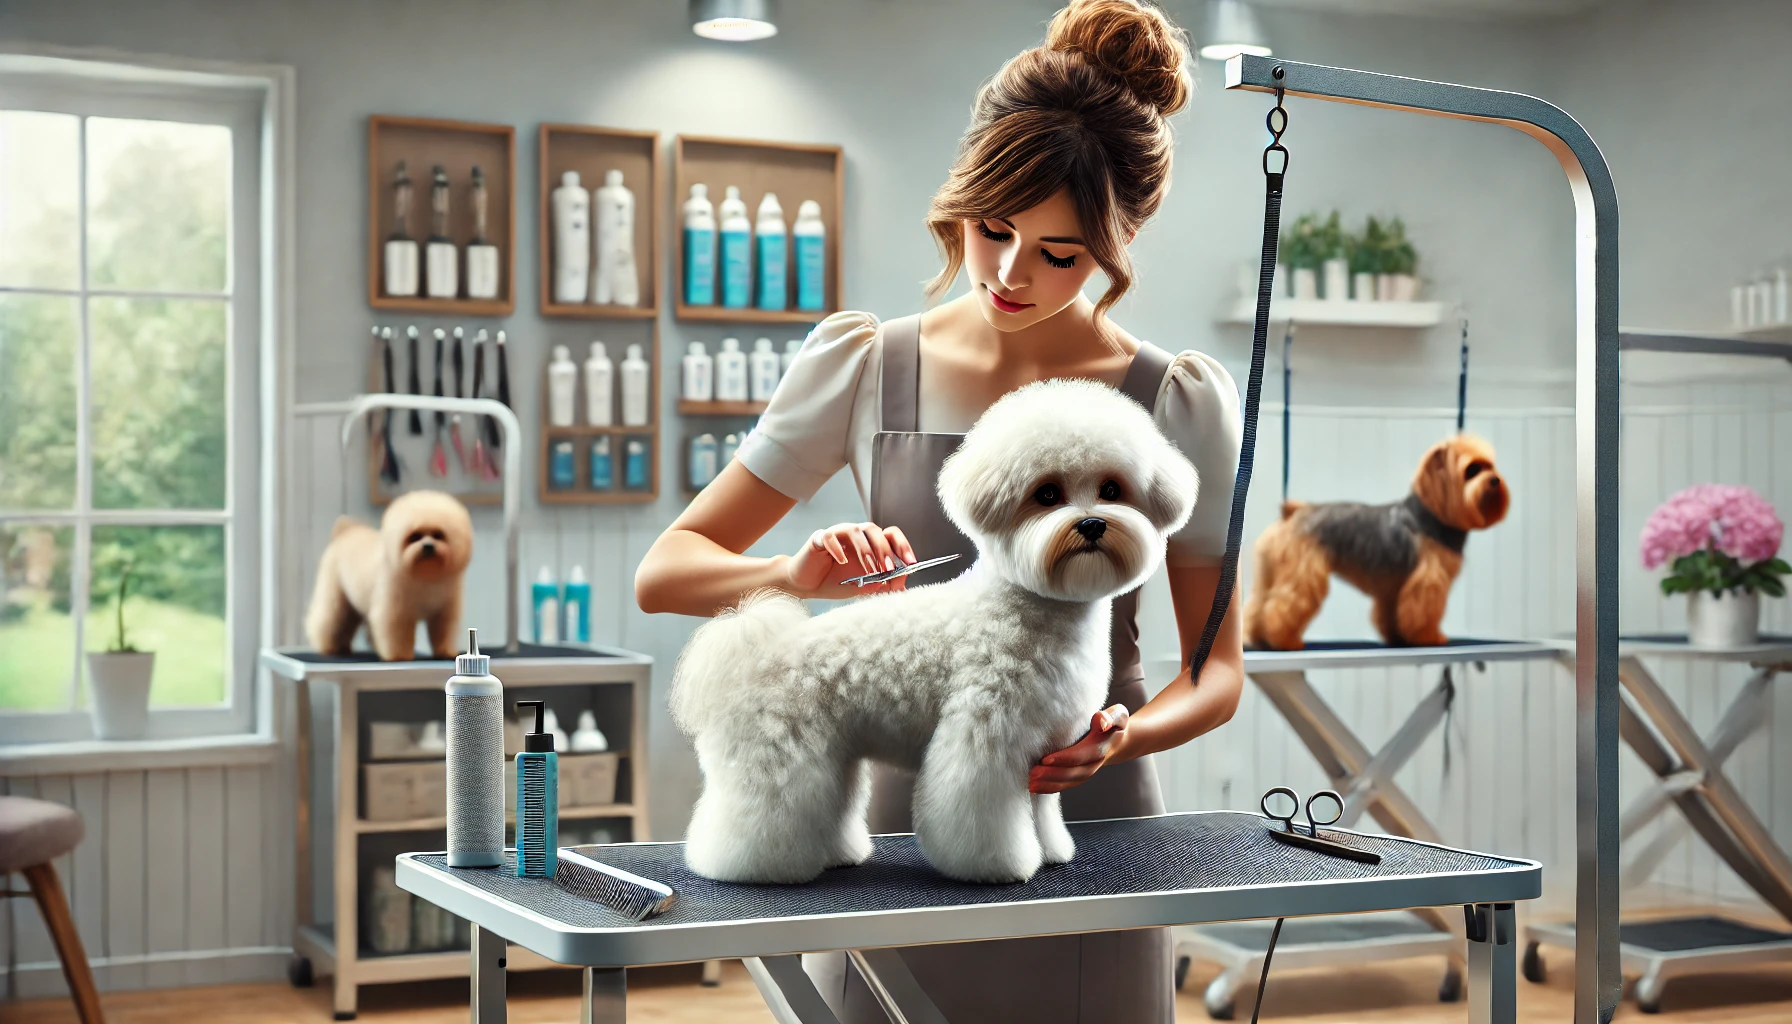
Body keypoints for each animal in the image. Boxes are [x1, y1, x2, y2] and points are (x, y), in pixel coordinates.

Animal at [308, 491, 476, 663]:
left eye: (439, 535)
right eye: (414, 536)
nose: (428, 546)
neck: (424, 577)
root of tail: (344, 532)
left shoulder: (443, 611)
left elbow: (444, 631)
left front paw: (445, 651)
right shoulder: (396, 609)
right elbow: (396, 630)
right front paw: (399, 655)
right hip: (337, 598)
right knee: (328, 621)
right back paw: (331, 648)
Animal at [666, 380, 1197, 885]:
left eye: (1112, 489)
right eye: (1047, 494)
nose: (1090, 524)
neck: (1030, 611)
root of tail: (752, 654)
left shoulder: (1045, 752)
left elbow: (1041, 810)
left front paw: (1049, 851)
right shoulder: (984, 737)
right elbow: (982, 811)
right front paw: (998, 866)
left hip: (832, 758)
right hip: (778, 756)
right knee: (751, 816)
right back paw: (746, 867)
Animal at [1247, 433, 1512, 649]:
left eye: (1491, 466)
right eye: (1472, 470)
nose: (1495, 480)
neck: (1430, 517)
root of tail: (1294, 512)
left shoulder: (1394, 587)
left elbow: (1393, 615)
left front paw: (1398, 638)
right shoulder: (1427, 582)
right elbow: (1424, 612)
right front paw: (1428, 637)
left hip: (1269, 571)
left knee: (1258, 606)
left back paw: (1259, 638)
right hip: (1302, 574)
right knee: (1282, 606)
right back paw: (1284, 641)